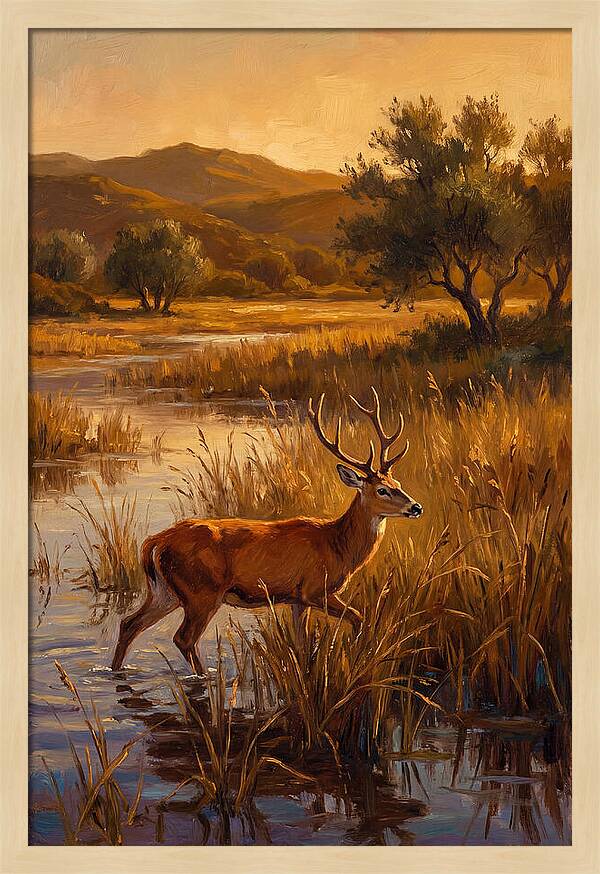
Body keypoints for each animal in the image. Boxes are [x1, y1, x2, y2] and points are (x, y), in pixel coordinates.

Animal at [111, 387, 423, 674]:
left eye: (397, 482)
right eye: (382, 490)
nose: (417, 507)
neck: (338, 546)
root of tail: (154, 542)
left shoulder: (297, 599)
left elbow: (302, 643)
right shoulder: (314, 590)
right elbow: (359, 617)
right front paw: (356, 652)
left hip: (164, 591)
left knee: (128, 623)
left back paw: (115, 670)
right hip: (201, 591)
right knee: (183, 638)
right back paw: (204, 678)